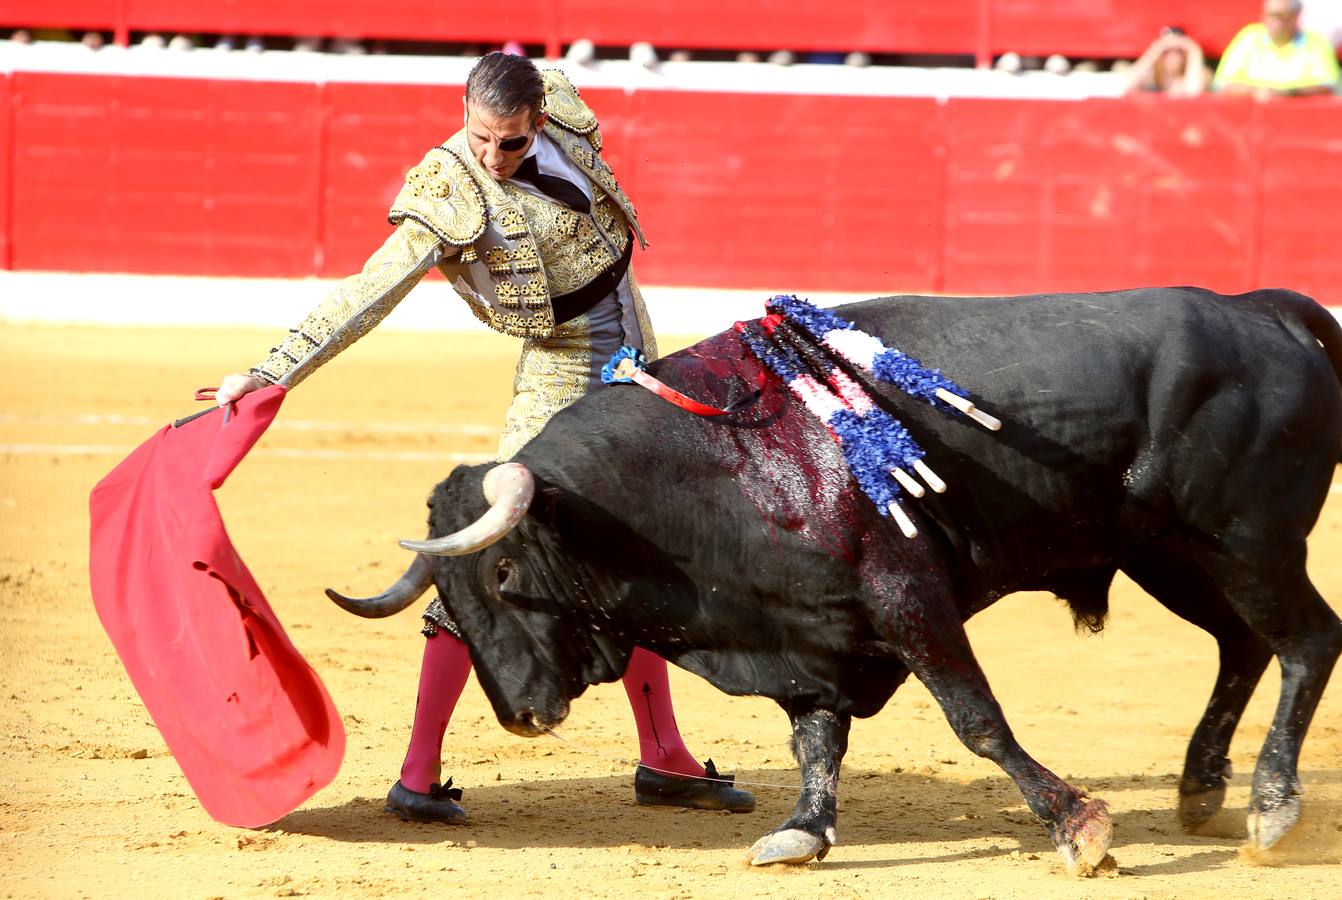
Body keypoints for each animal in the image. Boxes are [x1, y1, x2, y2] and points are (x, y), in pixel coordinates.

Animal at [330, 288, 1342, 874]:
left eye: (504, 571)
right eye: (451, 603)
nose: (522, 717)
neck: (718, 462)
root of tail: (1270, 310)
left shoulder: (907, 596)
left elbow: (976, 719)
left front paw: (1077, 828)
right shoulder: (808, 634)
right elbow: (815, 740)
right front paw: (804, 833)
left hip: (1243, 540)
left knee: (1306, 639)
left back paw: (1271, 807)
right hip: (1171, 553)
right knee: (1245, 643)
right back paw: (1202, 791)